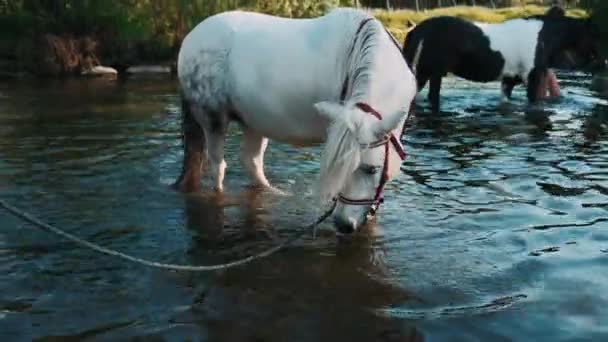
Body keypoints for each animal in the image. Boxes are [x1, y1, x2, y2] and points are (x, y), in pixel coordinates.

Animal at [171, 7, 418, 232]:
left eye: (372, 170)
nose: (343, 225)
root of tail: (190, 38)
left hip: (254, 121)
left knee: (251, 161)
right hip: (212, 119)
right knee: (218, 167)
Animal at [404, 9, 604, 112]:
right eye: (594, 35)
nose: (602, 63)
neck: (543, 36)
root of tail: (419, 28)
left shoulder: (509, 80)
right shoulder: (533, 79)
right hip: (430, 73)